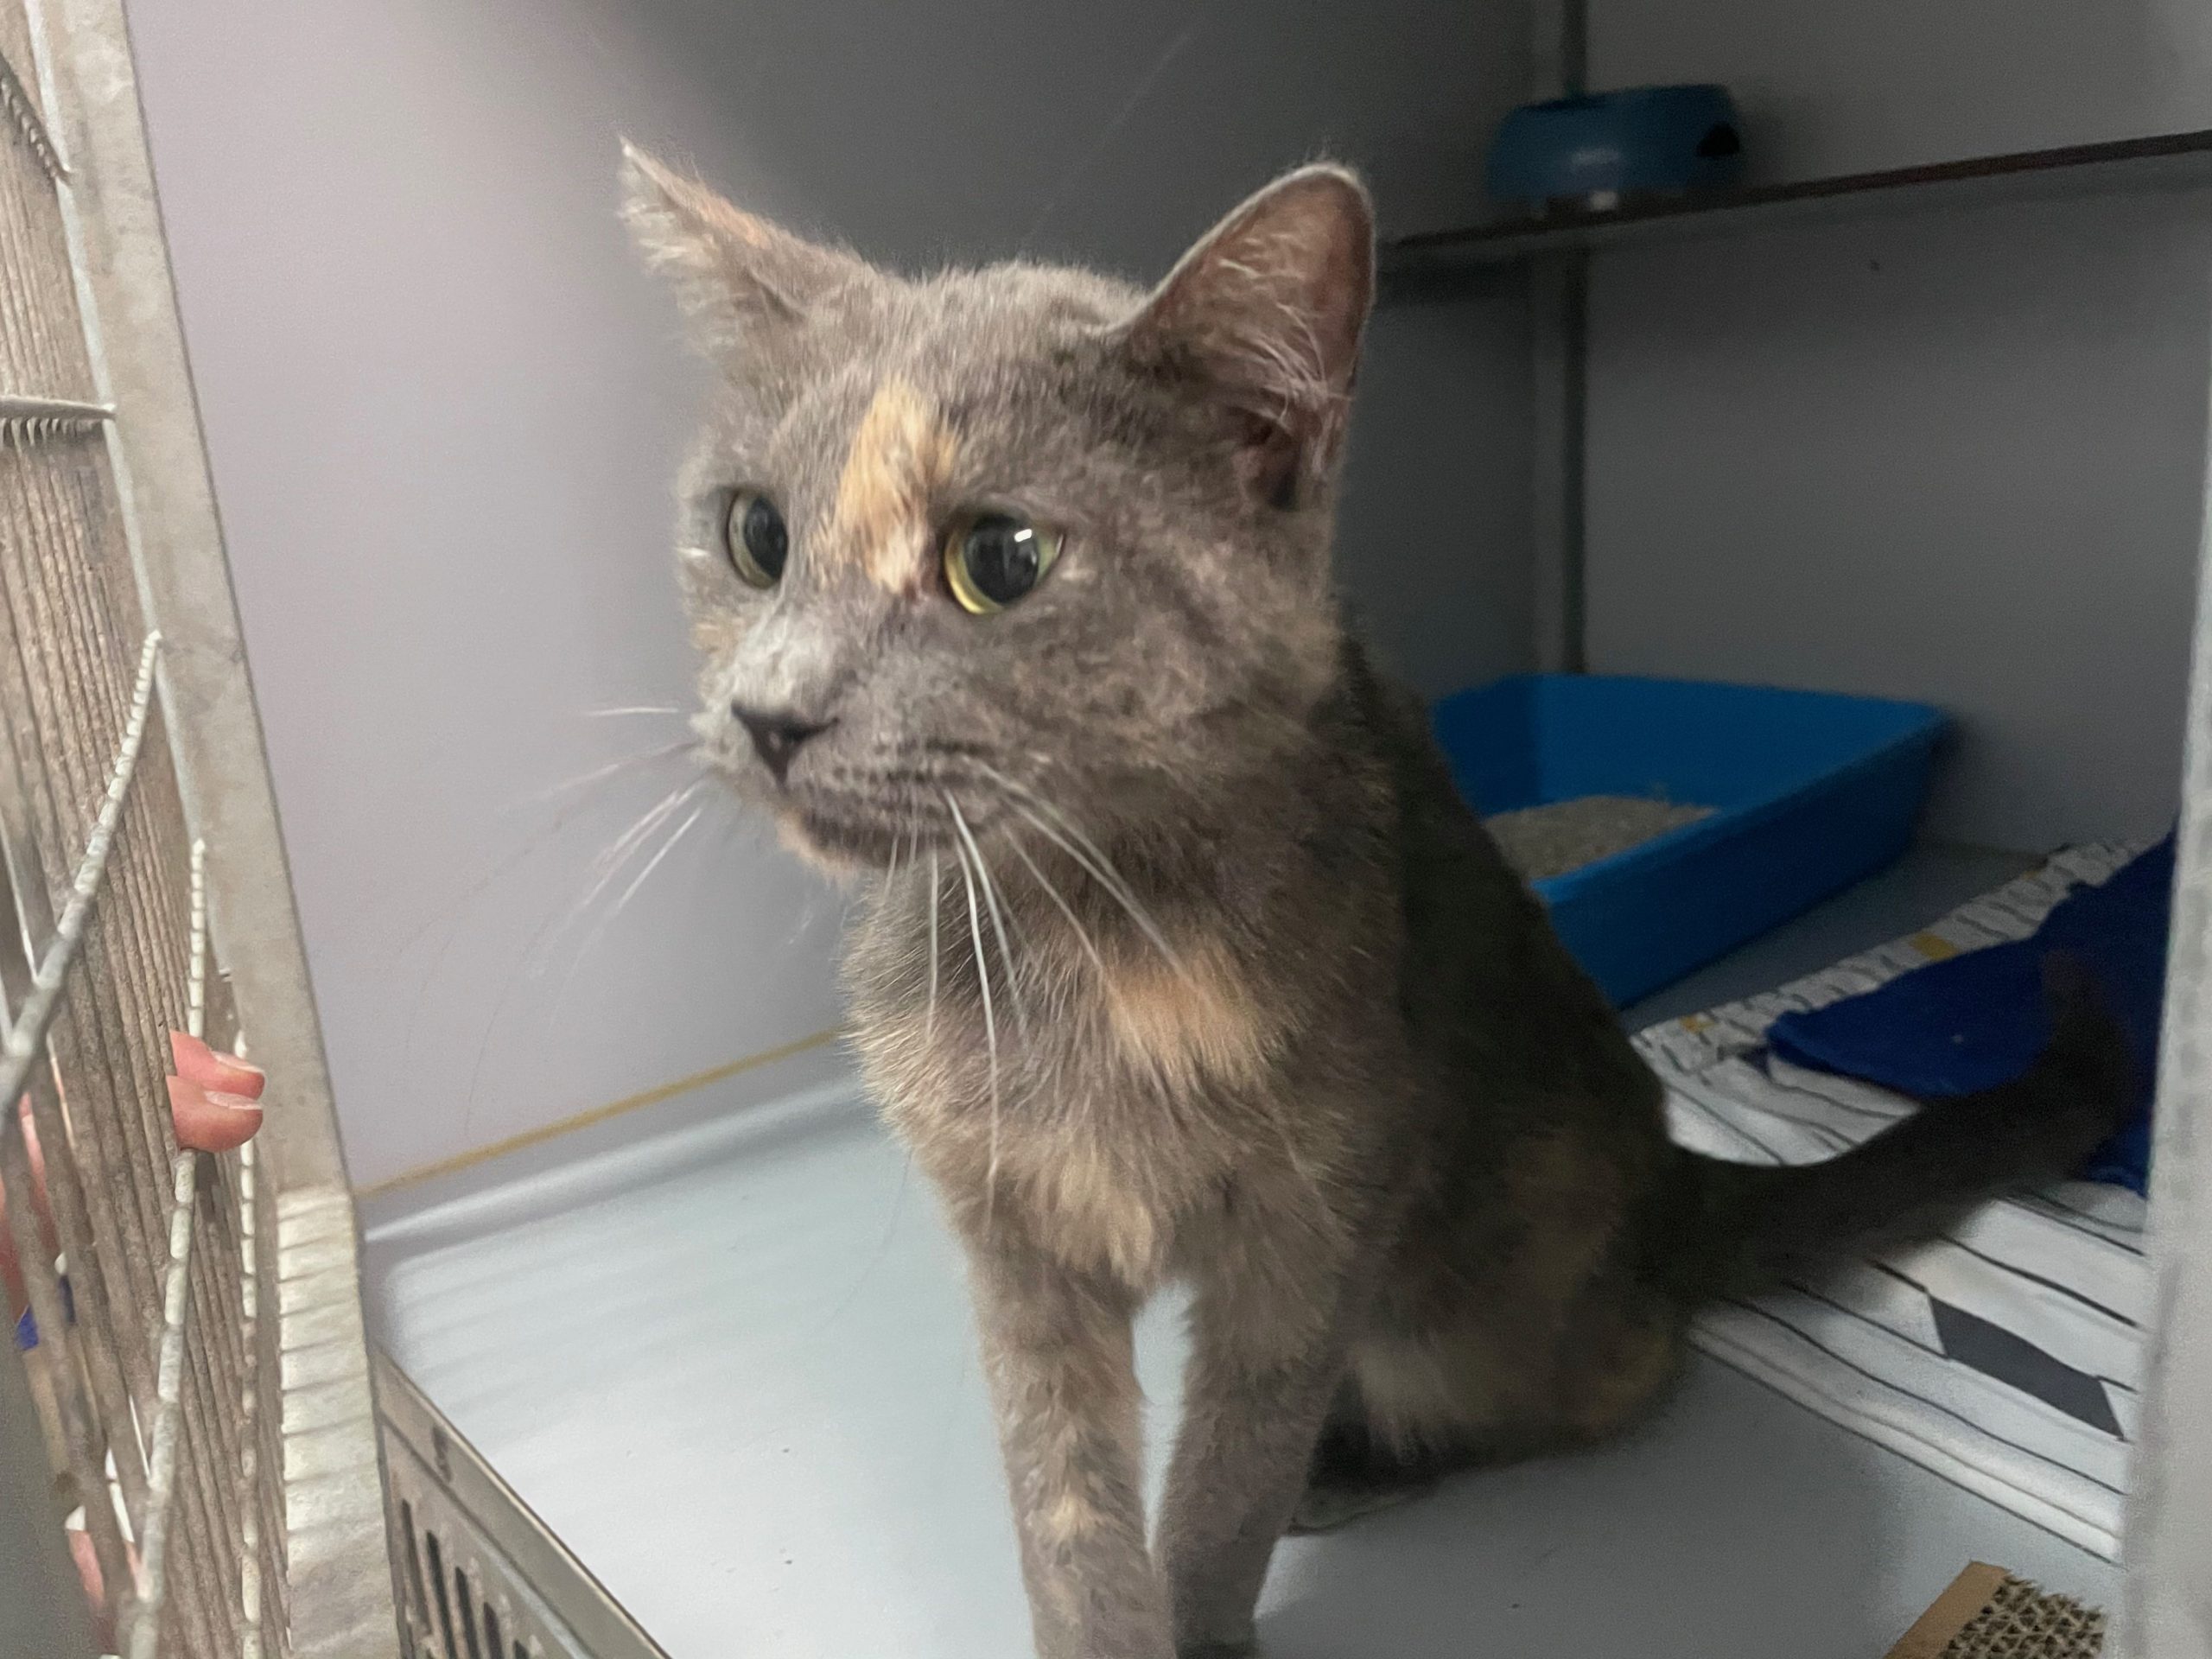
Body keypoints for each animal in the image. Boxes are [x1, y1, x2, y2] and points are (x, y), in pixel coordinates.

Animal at [620, 146, 2133, 1659]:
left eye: (1001, 560)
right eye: (756, 535)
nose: (771, 715)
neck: (1087, 934)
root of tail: (1668, 1180)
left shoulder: (1317, 1226)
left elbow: (1227, 1472)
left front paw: (1210, 1606)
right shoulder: (1017, 1238)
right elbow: (1063, 1502)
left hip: (1470, 1277)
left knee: (1610, 1374)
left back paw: (1358, 1462)